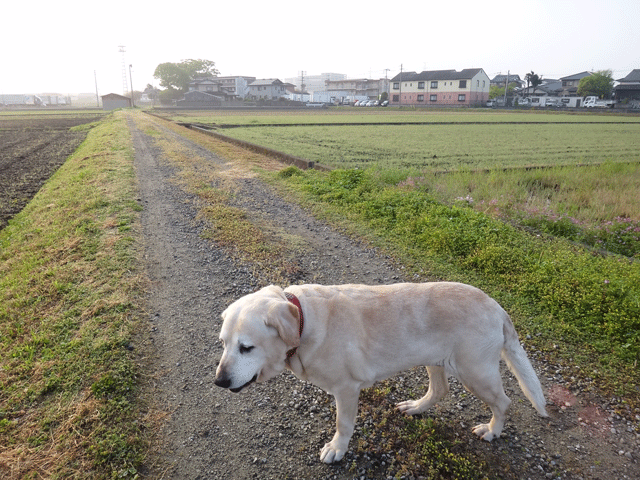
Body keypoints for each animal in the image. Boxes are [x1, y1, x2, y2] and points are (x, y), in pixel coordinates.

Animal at [214, 284, 544, 464]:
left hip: (475, 372)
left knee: (503, 402)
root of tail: (497, 307)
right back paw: (416, 407)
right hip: (435, 359)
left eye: (246, 347)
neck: (303, 323)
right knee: (439, 390)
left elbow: (343, 424)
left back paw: (493, 430)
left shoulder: (347, 390)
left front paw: (337, 449)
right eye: (223, 343)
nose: (219, 381)